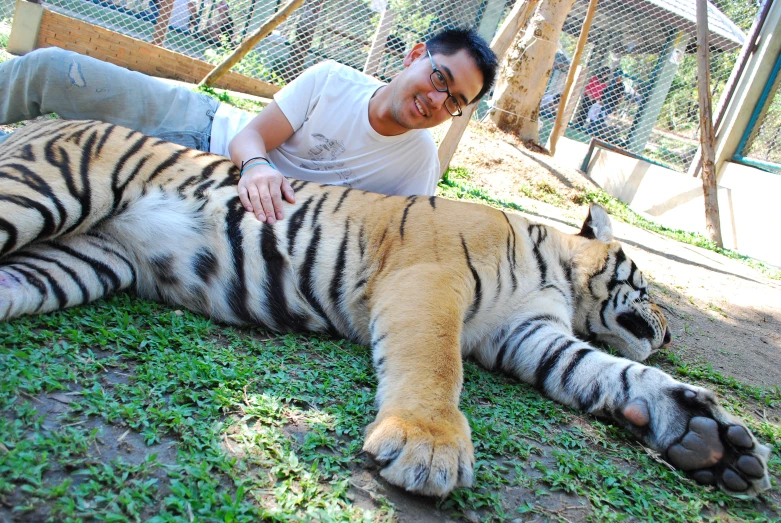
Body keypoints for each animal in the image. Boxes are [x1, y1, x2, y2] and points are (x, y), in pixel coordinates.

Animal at [0, 119, 768, 500]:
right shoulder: (428, 284)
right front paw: (429, 449)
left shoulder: (527, 333)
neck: (560, 277)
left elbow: (605, 373)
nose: (670, 332)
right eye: (653, 293)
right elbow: (435, 370)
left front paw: (707, 436)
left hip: (76, 264)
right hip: (42, 193)